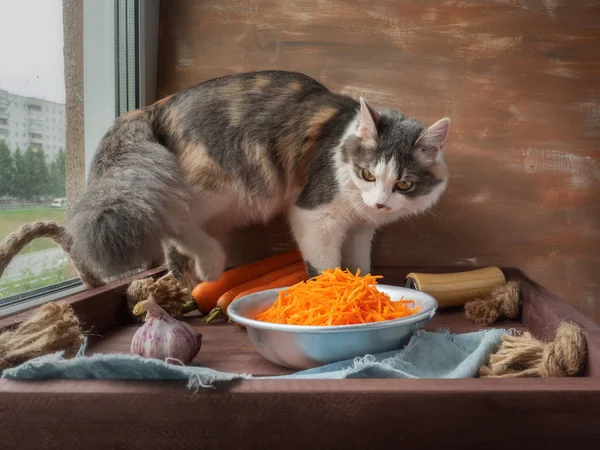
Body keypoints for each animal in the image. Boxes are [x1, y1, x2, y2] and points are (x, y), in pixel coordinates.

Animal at [67, 72, 450, 286]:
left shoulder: (360, 229)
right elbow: (326, 265)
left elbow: (360, 266)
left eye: (403, 184)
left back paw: (189, 281)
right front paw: (334, 295)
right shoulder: (314, 214)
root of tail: (156, 105)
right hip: (218, 185)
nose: (381, 203)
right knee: (173, 219)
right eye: (368, 174)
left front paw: (367, 289)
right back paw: (210, 265)